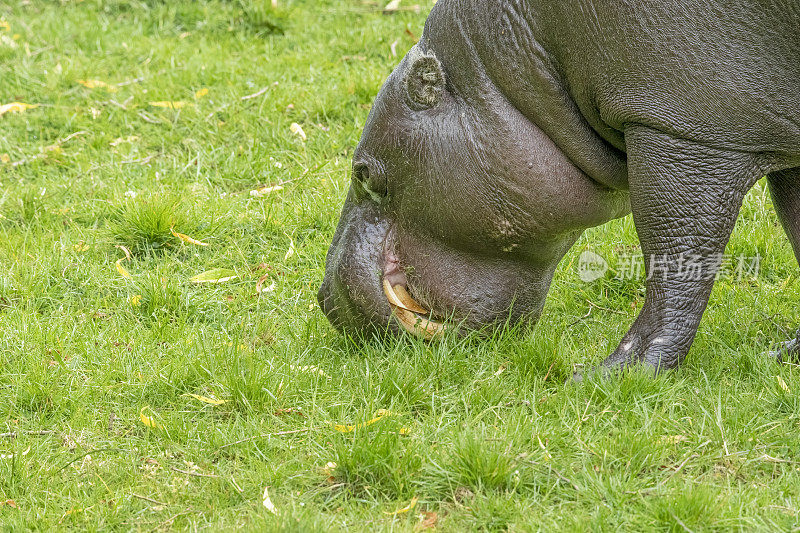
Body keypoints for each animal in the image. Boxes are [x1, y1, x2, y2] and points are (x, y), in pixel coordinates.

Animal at [318, 1, 800, 374]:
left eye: (364, 172)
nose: (325, 300)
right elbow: (795, 230)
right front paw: (787, 353)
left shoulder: (682, 130)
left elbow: (677, 260)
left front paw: (615, 374)